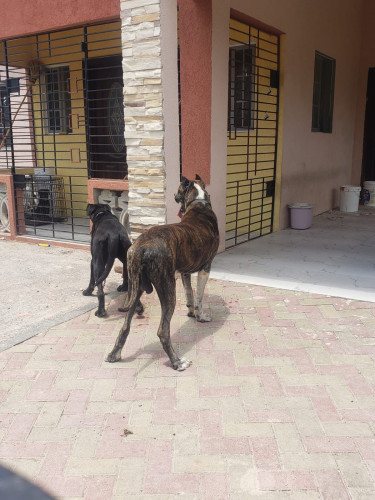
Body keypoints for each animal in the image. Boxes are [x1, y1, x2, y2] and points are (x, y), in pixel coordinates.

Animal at [106, 174, 220, 370]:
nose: (174, 195)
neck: (199, 203)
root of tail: (140, 248)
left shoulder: (185, 272)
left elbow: (190, 293)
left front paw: (191, 312)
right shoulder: (205, 269)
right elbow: (199, 297)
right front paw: (201, 316)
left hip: (135, 289)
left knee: (125, 326)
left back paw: (115, 354)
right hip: (167, 289)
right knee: (163, 331)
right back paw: (177, 362)